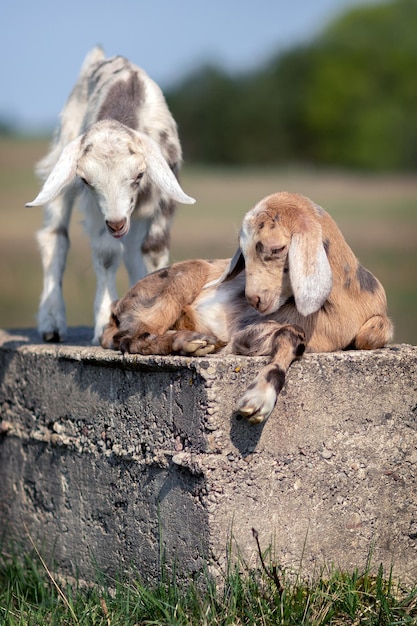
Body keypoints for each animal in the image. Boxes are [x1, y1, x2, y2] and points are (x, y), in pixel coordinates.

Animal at [26, 47, 194, 342]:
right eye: (86, 179)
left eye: (139, 175)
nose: (116, 224)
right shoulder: (95, 207)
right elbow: (106, 255)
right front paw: (104, 323)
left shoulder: (163, 197)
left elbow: (153, 249)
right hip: (60, 155)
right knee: (55, 238)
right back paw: (52, 323)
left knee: (133, 250)